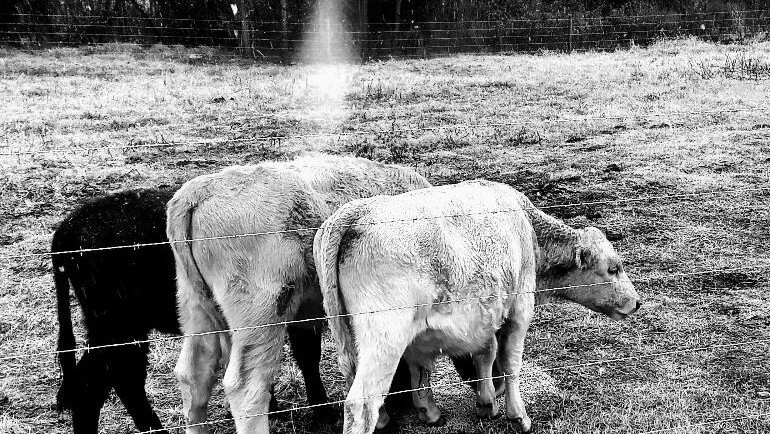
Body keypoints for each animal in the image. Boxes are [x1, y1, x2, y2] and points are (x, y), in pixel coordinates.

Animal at [52, 188, 335, 434]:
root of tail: (67, 229)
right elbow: (308, 357)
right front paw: (322, 411)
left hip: (113, 330)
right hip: (120, 329)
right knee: (112, 382)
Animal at [165, 153, 440, 434]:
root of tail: (197, 192)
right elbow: (419, 362)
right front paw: (427, 410)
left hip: (197, 313)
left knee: (193, 375)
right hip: (261, 321)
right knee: (247, 389)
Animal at [315, 179, 642, 434]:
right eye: (613, 268)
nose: (637, 302)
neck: (526, 230)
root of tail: (357, 212)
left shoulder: (483, 315)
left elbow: (475, 357)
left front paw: (479, 404)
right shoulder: (519, 309)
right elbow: (510, 363)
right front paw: (517, 415)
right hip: (384, 338)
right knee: (361, 404)